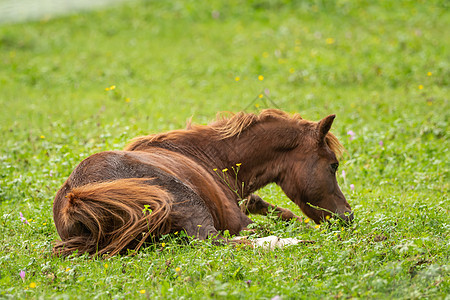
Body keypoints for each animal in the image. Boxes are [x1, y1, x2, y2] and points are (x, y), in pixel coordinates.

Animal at [52, 109, 354, 256]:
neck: (211, 157)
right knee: (216, 240)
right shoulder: (237, 220)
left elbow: (279, 210)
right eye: (333, 165)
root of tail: (75, 195)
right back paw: (288, 242)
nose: (347, 217)